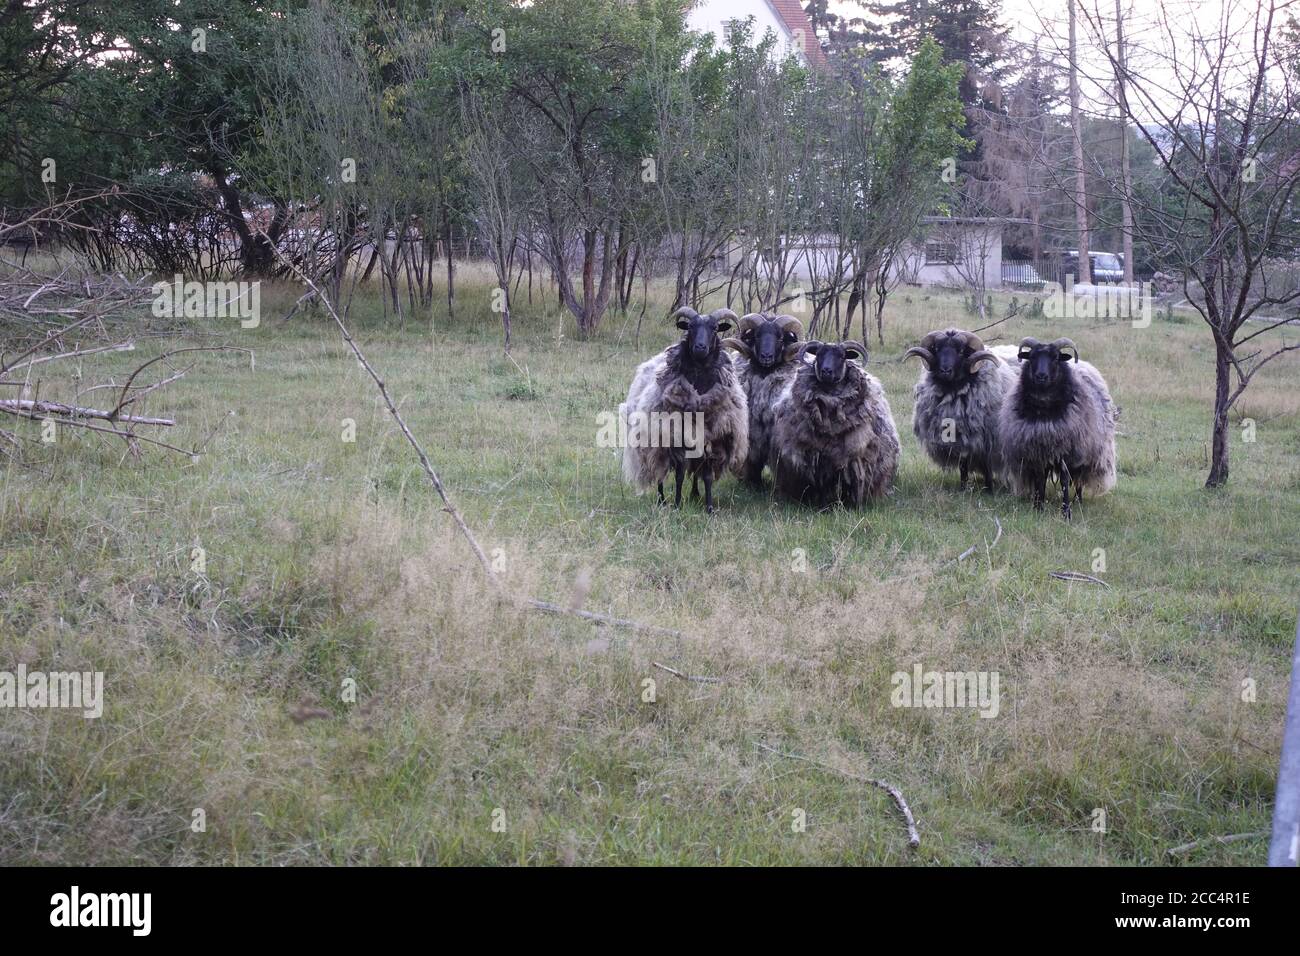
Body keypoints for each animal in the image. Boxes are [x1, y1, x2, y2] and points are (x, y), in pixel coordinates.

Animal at [621, 306, 748, 515]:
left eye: (714, 328)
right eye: (690, 327)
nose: (700, 347)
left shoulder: (712, 440)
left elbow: (707, 477)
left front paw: (709, 507)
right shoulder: (677, 439)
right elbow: (679, 475)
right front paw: (678, 504)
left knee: (694, 472)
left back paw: (695, 494)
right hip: (659, 443)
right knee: (660, 472)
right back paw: (662, 500)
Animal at [722, 314, 800, 489]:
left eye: (780, 338)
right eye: (757, 335)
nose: (766, 356)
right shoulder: (751, 434)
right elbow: (751, 463)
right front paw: (751, 484)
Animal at [764, 343, 899, 509]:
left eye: (841, 356)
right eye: (819, 355)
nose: (826, 370)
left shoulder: (854, 459)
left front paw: (853, 506)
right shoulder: (818, 459)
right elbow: (821, 485)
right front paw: (822, 507)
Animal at [904, 330, 1013, 494]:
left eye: (961, 351)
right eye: (937, 349)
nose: (945, 370)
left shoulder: (987, 438)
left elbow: (987, 465)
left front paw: (989, 489)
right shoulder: (960, 440)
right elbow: (963, 465)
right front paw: (963, 487)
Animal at [993, 335, 1118, 520]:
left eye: (1055, 358)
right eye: (1032, 357)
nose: (1041, 376)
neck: (1044, 410)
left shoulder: (1066, 450)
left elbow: (1065, 480)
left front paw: (1066, 512)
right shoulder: (1038, 449)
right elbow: (1040, 478)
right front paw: (1038, 506)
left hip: (1086, 451)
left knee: (1079, 478)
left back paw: (1078, 501)